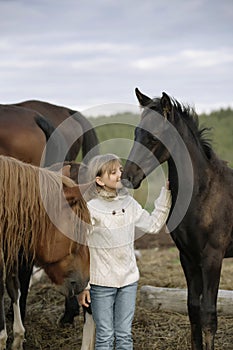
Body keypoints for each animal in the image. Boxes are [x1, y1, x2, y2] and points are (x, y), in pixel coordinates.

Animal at [122, 88, 233, 350]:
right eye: (136, 132)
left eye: (154, 137)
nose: (127, 176)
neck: (203, 192)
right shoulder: (187, 257)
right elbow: (193, 309)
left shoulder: (212, 257)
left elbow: (209, 314)